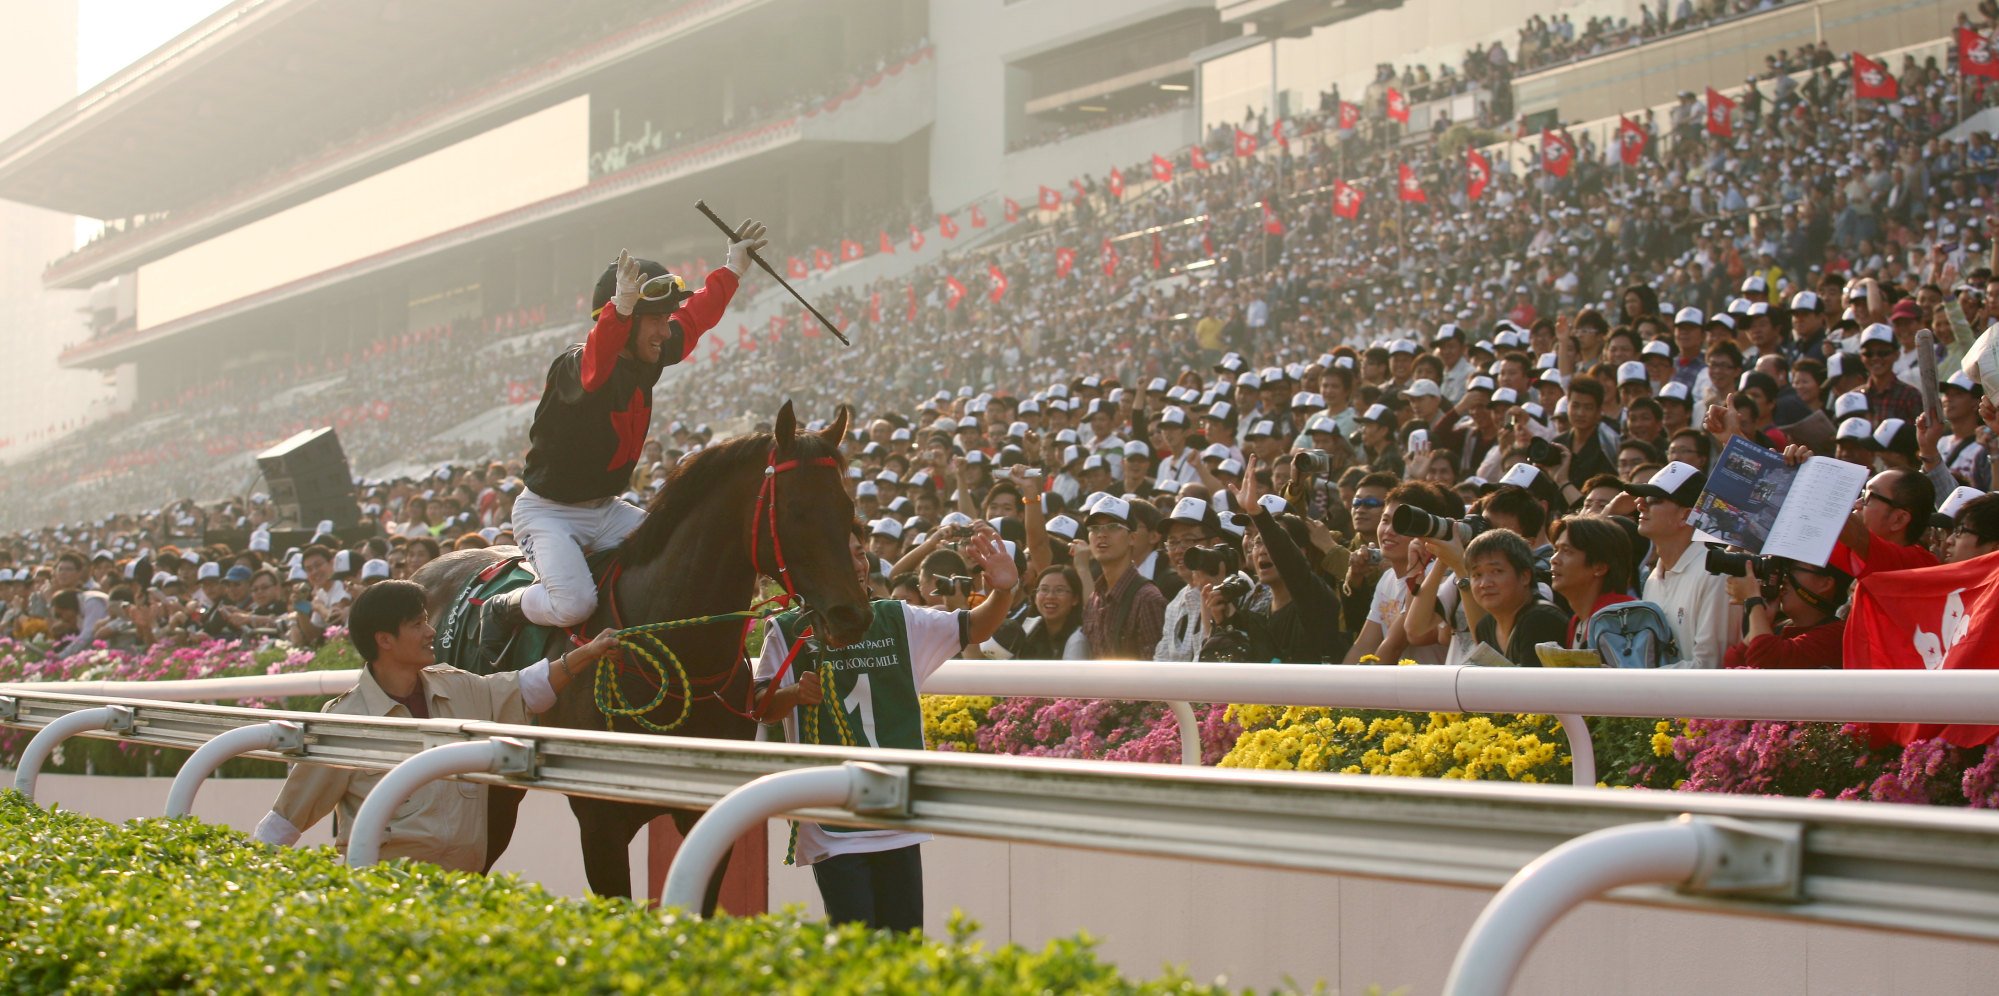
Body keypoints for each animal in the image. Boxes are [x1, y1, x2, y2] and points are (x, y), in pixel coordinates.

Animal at [413, 400, 867, 908]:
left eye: (848, 507)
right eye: (796, 510)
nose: (852, 615)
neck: (680, 652)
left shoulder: (701, 812)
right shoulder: (600, 823)